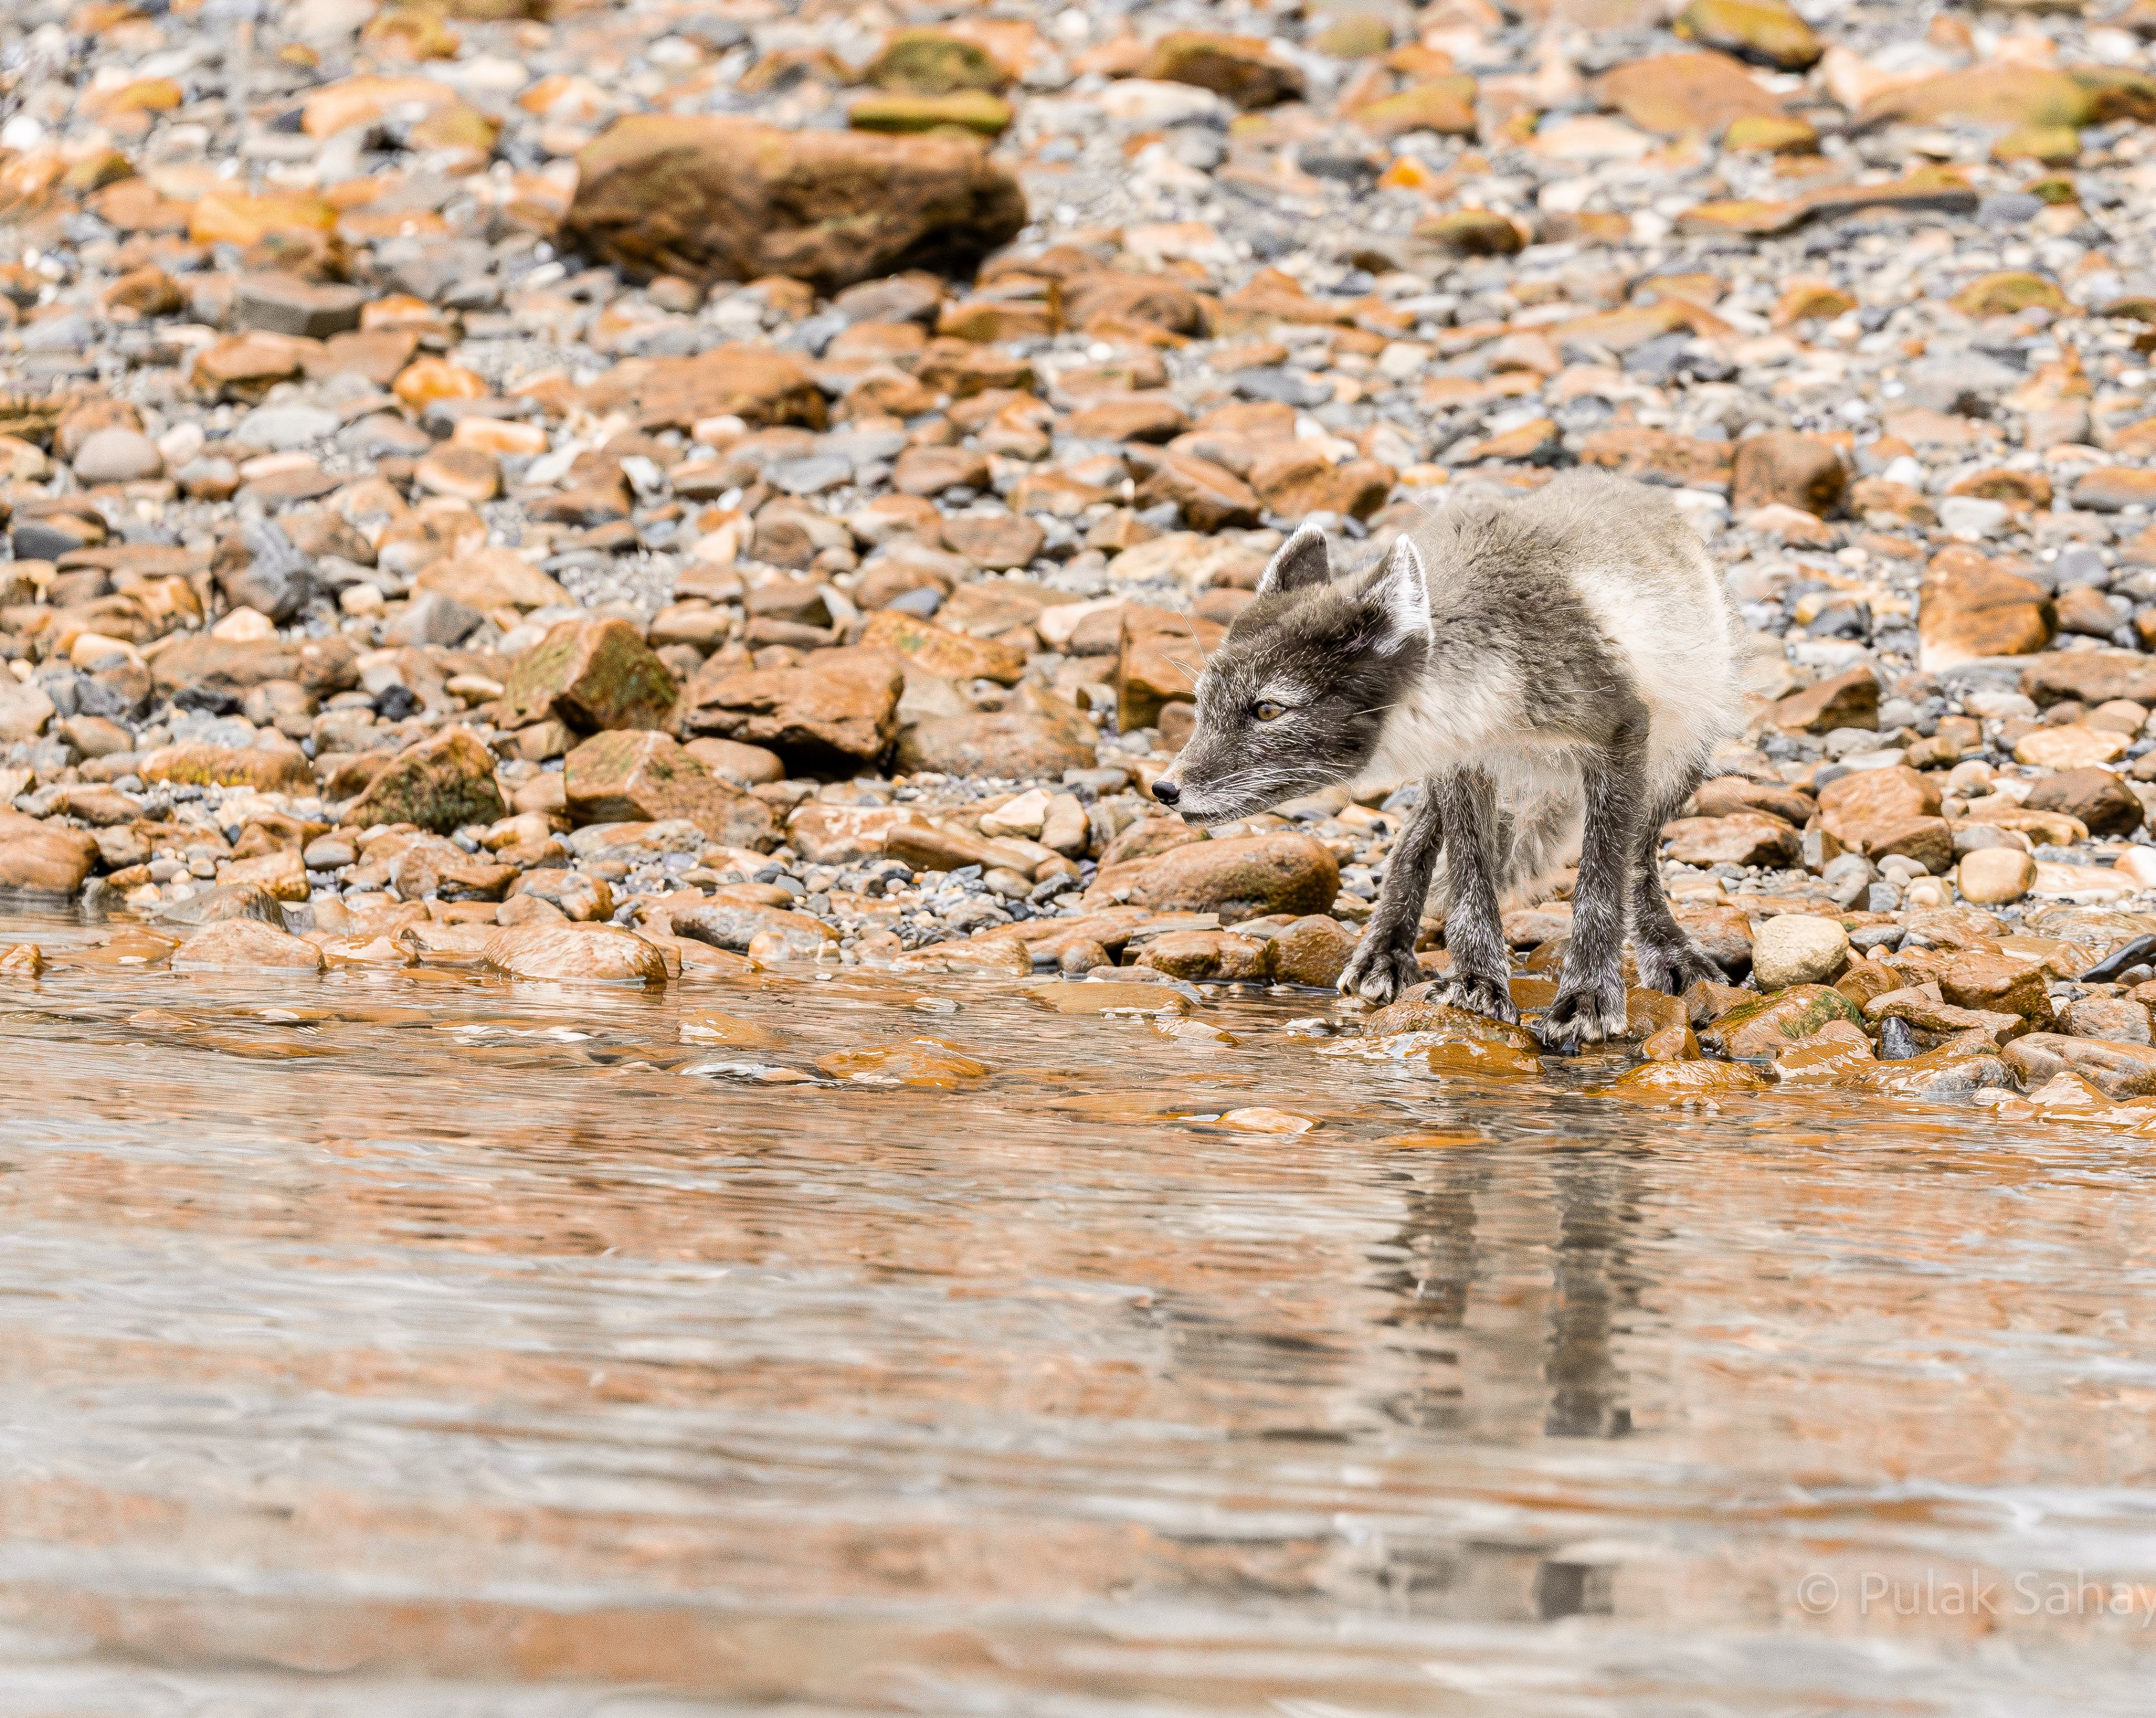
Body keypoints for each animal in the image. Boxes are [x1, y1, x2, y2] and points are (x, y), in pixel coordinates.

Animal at [1150, 471, 1747, 1048]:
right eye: (1202, 703)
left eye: (1268, 709)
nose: (1164, 789)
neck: (1500, 681)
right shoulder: (1460, 760)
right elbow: (1469, 875)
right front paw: (1478, 981)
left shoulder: (1620, 733)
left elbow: (1602, 881)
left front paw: (1588, 996)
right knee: (1415, 836)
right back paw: (1384, 949)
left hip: (1679, 757)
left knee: (1641, 860)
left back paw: (1669, 948)